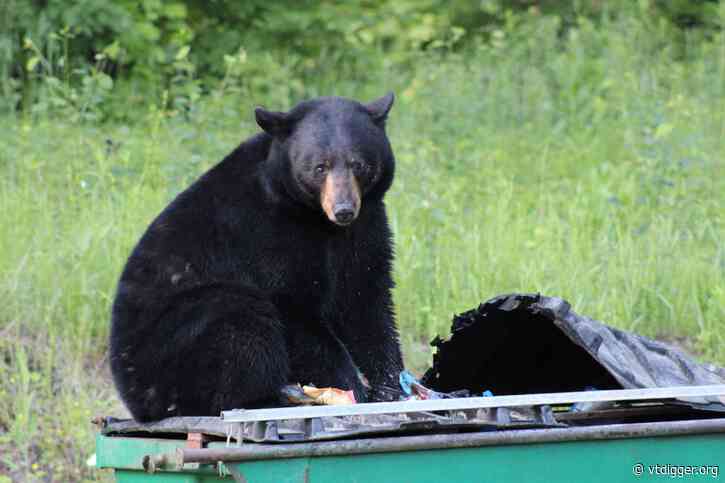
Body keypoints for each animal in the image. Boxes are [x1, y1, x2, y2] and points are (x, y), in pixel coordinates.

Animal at [109, 93, 404, 422]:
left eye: (359, 164)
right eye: (319, 167)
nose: (343, 209)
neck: (316, 218)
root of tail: (136, 402)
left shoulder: (365, 225)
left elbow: (365, 299)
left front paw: (389, 385)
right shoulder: (265, 232)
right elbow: (293, 306)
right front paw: (351, 387)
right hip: (176, 343)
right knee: (241, 322)